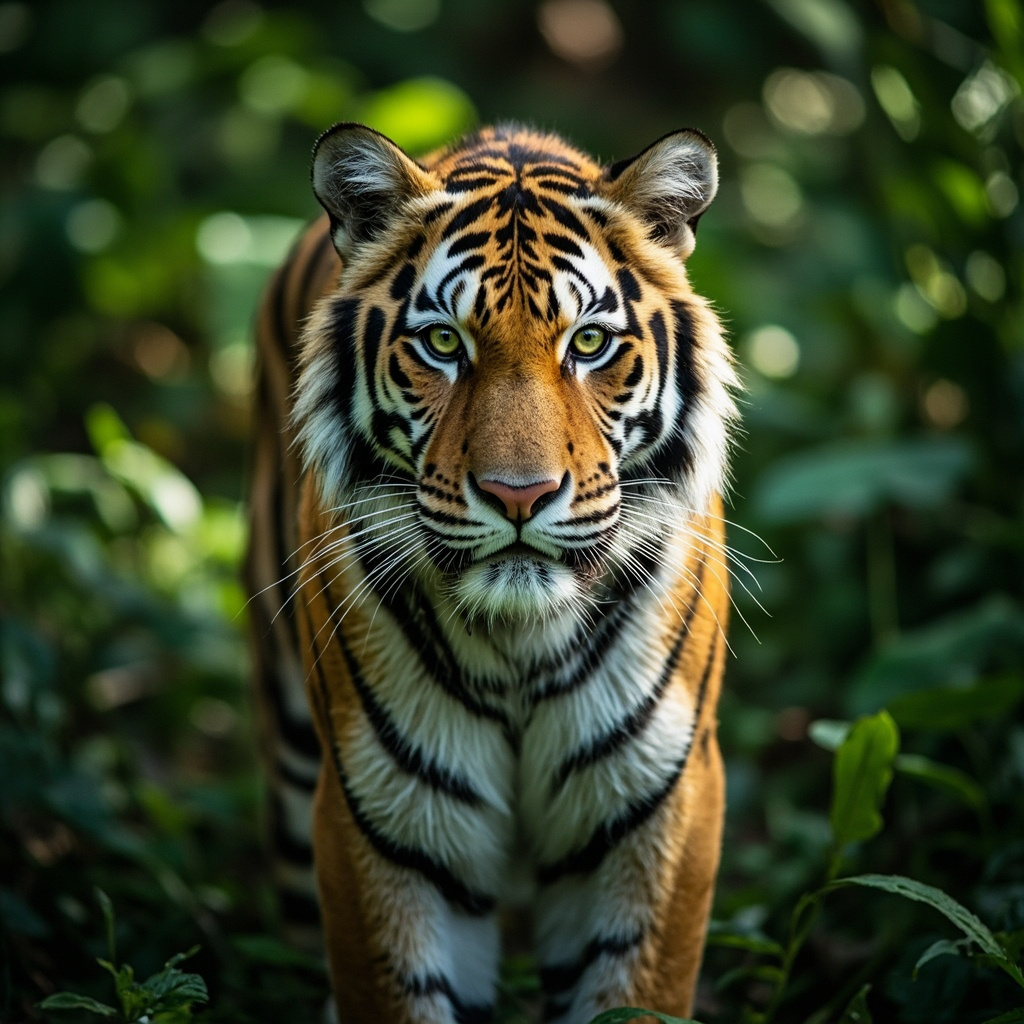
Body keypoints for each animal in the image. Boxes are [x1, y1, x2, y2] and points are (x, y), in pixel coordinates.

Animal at [245, 121, 739, 1024]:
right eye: (444, 342)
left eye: (589, 343)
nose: (520, 494)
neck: (521, 641)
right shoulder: (383, 818)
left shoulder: (660, 804)